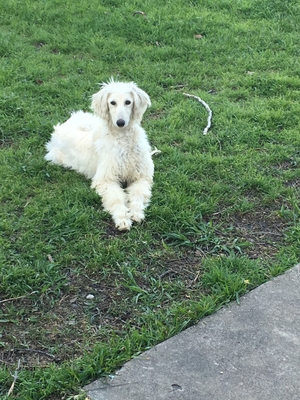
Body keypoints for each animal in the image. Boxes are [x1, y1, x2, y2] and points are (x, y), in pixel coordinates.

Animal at [45, 78, 154, 230]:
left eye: (128, 102)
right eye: (112, 102)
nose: (120, 122)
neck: (123, 139)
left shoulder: (142, 176)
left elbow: (138, 194)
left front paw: (136, 213)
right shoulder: (105, 179)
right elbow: (116, 198)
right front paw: (122, 218)